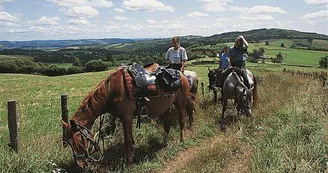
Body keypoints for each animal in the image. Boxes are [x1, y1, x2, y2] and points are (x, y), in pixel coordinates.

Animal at [61, 63, 196, 168]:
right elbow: (130, 138)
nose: (80, 165)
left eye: (80, 138)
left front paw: (129, 162)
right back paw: (163, 144)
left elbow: (128, 140)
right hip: (166, 108)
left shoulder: (126, 118)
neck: (111, 92)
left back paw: (182, 140)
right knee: (167, 125)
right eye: (68, 143)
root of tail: (182, 75)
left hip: (180, 103)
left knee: (181, 121)